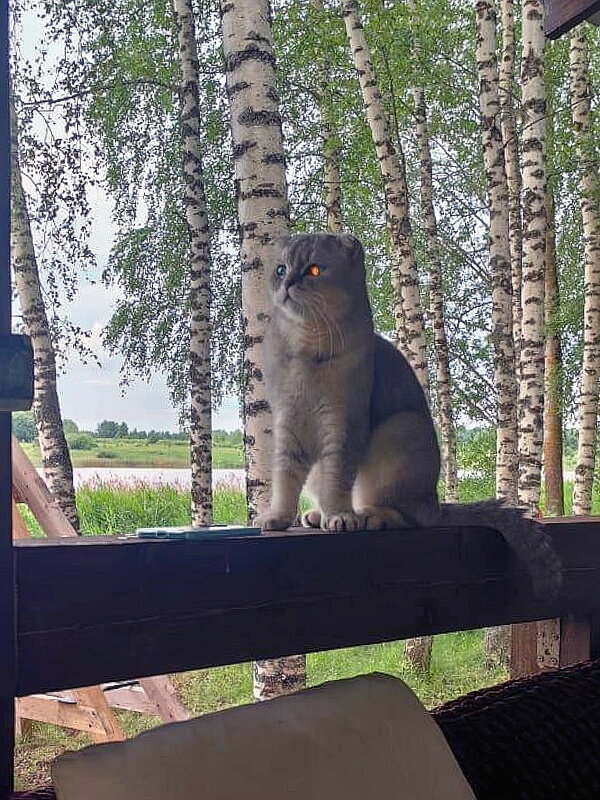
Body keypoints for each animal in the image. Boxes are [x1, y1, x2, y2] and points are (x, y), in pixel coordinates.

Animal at [256, 228, 564, 596]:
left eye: (314, 270)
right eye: (280, 269)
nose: (287, 283)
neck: (306, 349)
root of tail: (435, 503)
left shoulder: (343, 423)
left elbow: (337, 479)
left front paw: (339, 517)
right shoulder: (288, 422)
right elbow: (286, 477)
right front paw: (279, 517)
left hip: (400, 430)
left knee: (409, 518)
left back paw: (367, 516)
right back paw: (316, 515)